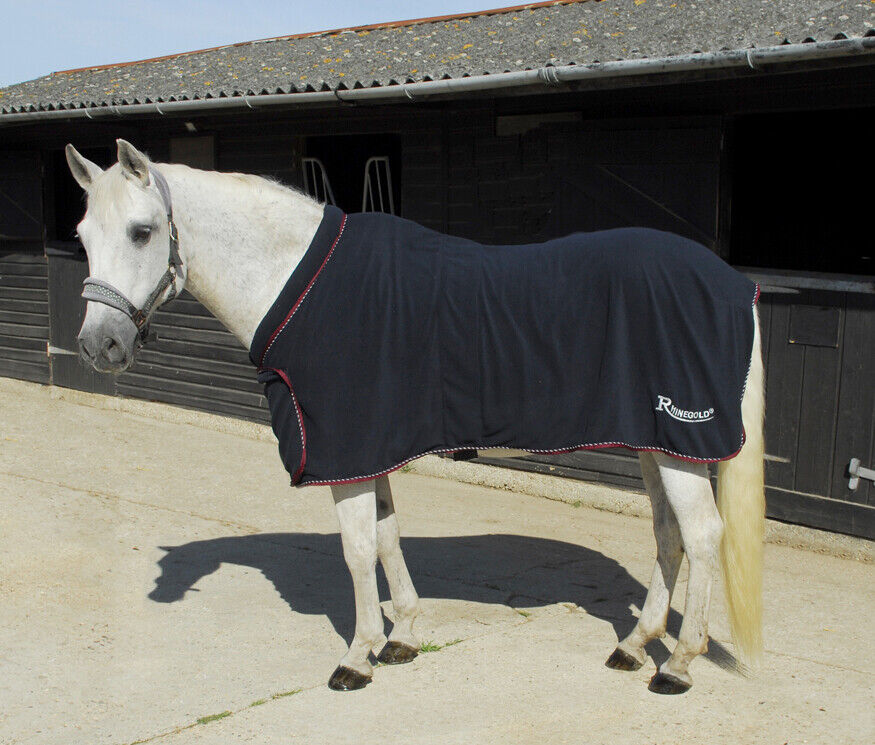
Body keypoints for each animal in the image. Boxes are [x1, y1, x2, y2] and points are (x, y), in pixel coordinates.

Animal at [65, 139, 764, 695]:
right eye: (82, 237)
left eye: (142, 231)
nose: (100, 346)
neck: (300, 280)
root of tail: (737, 286)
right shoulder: (370, 446)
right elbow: (387, 536)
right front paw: (399, 636)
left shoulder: (344, 450)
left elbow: (355, 551)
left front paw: (357, 657)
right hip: (656, 443)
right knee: (669, 535)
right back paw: (634, 644)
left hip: (679, 444)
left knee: (703, 535)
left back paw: (678, 664)